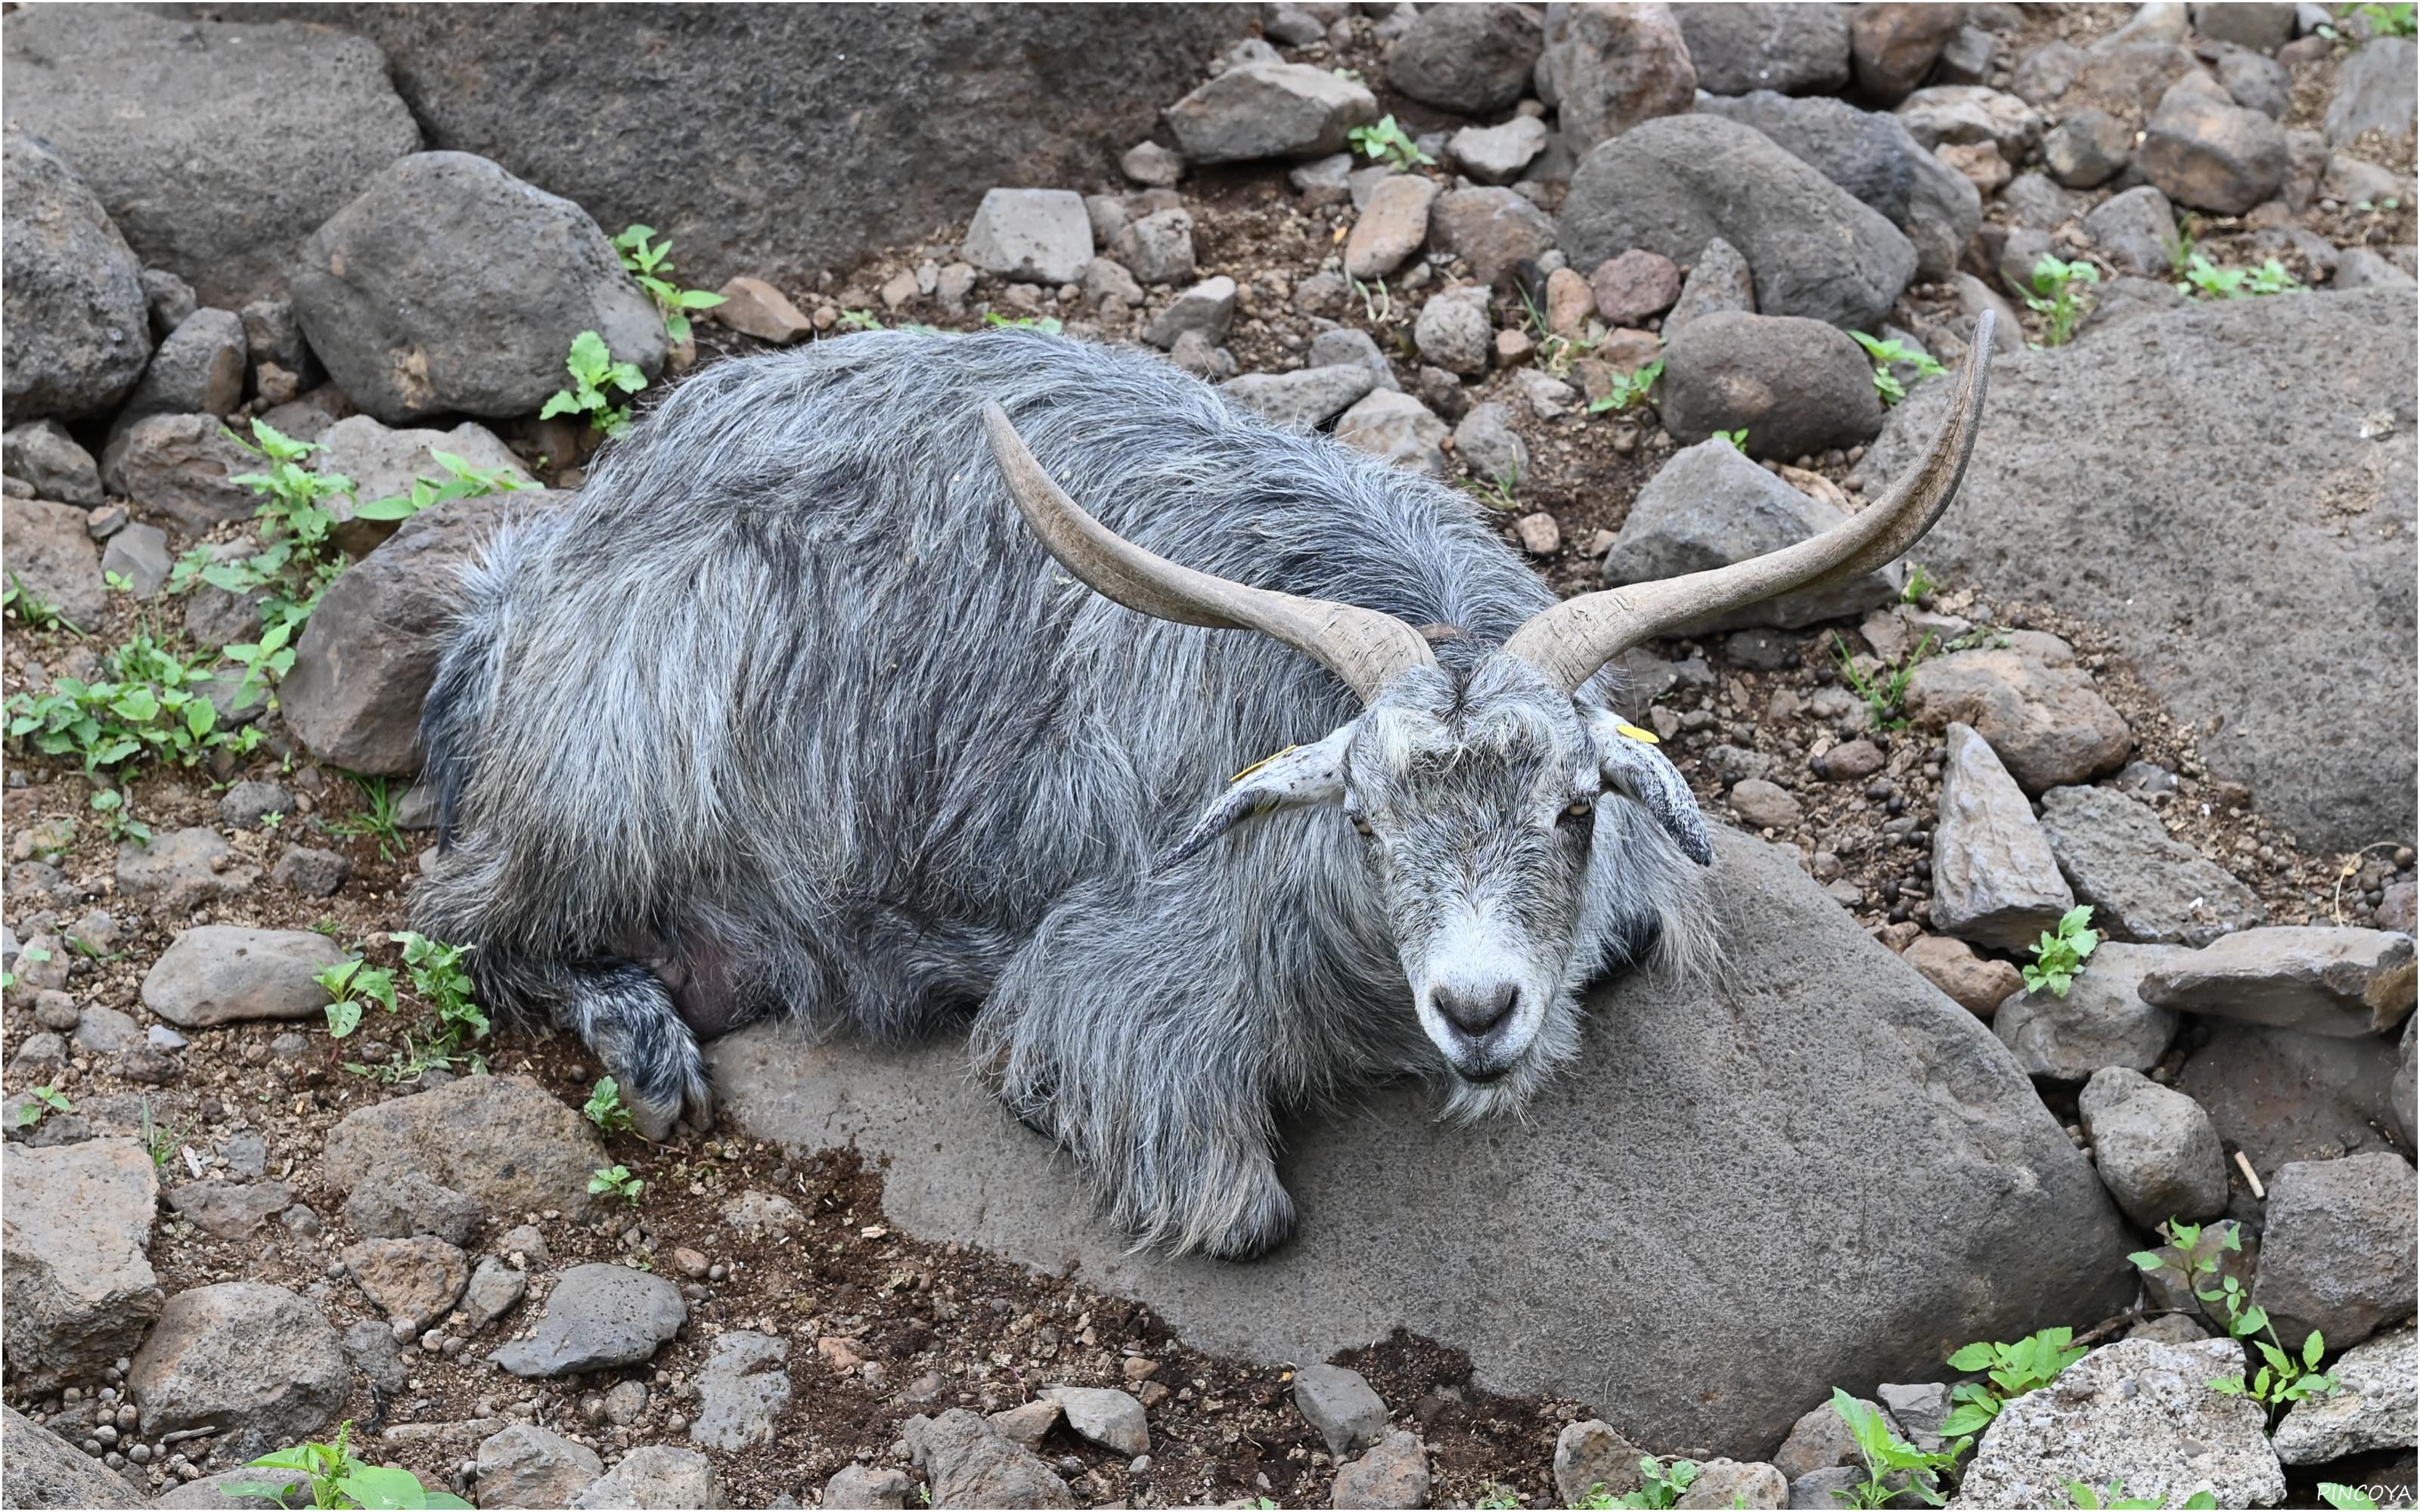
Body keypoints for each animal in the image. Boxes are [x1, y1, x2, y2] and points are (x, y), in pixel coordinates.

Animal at [416, 314, 1993, 1248]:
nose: (1479, 1008)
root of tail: (538, 574)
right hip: (616, 762)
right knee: (464, 929)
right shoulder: (1112, 975)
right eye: (1362, 817)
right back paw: (648, 1046)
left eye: (1573, 808)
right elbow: (1237, 1211)